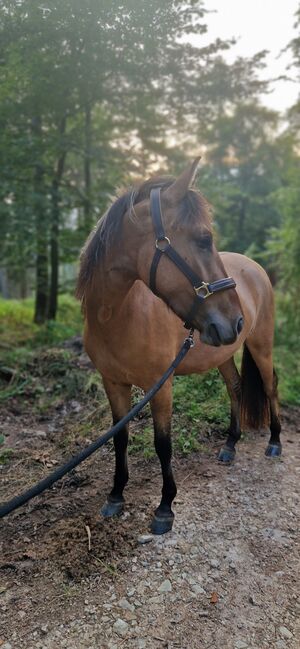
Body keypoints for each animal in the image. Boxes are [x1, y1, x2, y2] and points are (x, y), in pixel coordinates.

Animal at [75, 157, 282, 532]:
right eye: (203, 238)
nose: (236, 320)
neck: (118, 316)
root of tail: (255, 267)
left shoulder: (162, 385)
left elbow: (163, 444)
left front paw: (165, 507)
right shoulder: (113, 383)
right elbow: (119, 437)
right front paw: (115, 495)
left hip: (261, 346)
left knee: (270, 385)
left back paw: (274, 442)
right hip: (223, 352)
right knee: (235, 387)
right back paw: (230, 446)